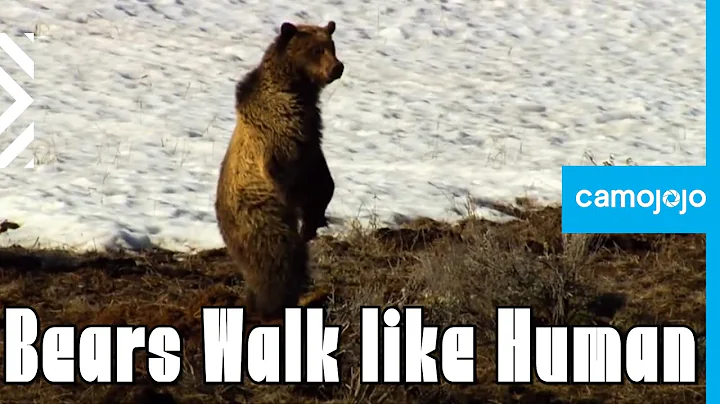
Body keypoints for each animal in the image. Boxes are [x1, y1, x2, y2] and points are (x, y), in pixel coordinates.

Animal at [214, 21, 344, 324]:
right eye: (316, 50)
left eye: (331, 46)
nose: (337, 67)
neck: (297, 90)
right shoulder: (279, 134)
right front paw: (308, 220)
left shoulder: (310, 133)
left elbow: (322, 179)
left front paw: (316, 219)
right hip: (259, 219)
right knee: (278, 262)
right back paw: (275, 307)